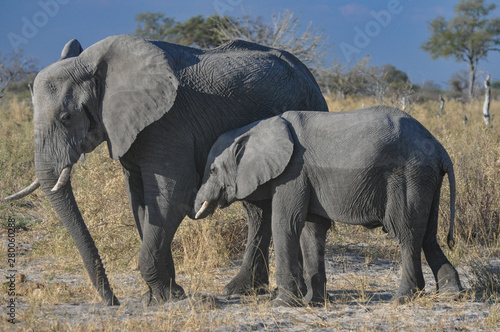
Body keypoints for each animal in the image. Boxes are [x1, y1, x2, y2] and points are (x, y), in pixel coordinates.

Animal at [8, 34, 328, 306]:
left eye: (66, 117)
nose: (114, 302)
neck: (93, 63)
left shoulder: (168, 124)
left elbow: (172, 195)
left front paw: (162, 298)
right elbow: (141, 202)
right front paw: (165, 295)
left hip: (308, 112)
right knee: (257, 210)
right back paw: (242, 290)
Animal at [193, 106, 462, 306]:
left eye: (213, 170)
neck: (258, 127)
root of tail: (440, 149)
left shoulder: (292, 172)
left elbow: (285, 223)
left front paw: (283, 304)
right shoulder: (306, 177)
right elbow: (312, 230)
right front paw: (314, 302)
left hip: (409, 176)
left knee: (406, 232)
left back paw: (403, 298)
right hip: (427, 179)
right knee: (428, 235)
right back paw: (452, 294)